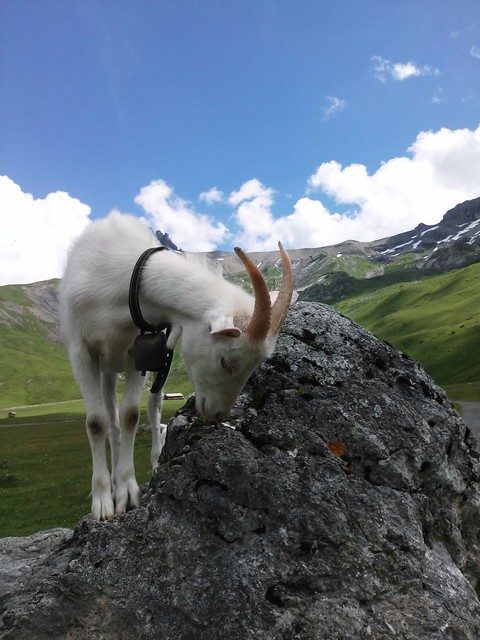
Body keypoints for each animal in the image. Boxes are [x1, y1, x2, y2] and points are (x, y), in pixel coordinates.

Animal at [59, 211, 294, 521]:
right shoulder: (81, 351)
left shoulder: (137, 350)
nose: (217, 414)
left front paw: (127, 492)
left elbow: (131, 415)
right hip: (106, 367)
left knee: (150, 405)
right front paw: (102, 501)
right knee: (110, 421)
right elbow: (97, 422)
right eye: (226, 361)